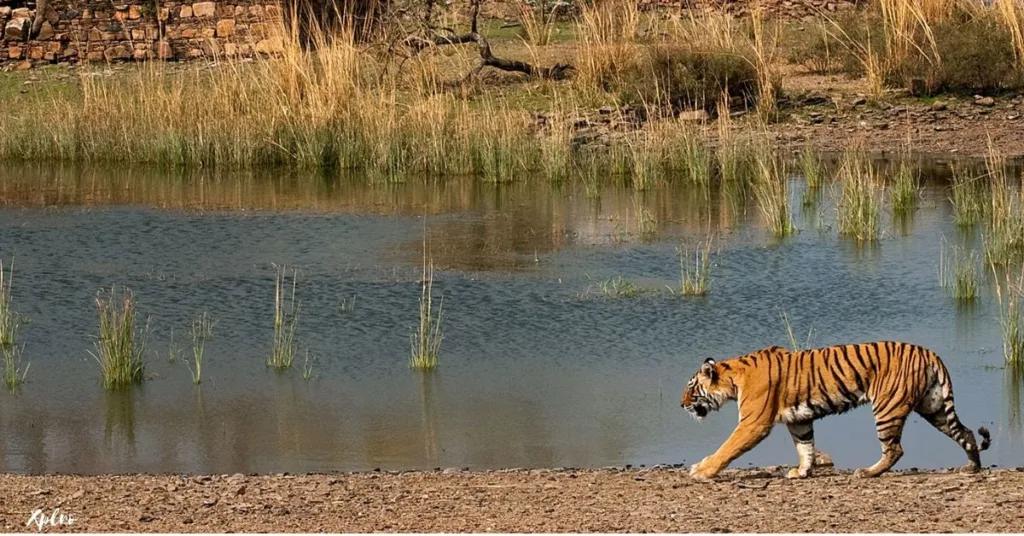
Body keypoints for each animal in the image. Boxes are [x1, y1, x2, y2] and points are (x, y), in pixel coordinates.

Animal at [684, 344, 987, 481]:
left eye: (691, 389)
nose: (681, 405)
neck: (733, 377)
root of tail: (929, 353)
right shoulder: (799, 419)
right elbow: (805, 446)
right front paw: (801, 472)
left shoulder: (753, 423)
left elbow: (727, 448)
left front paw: (702, 470)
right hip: (934, 407)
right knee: (966, 433)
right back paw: (972, 466)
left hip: (887, 408)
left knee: (895, 449)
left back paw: (868, 472)